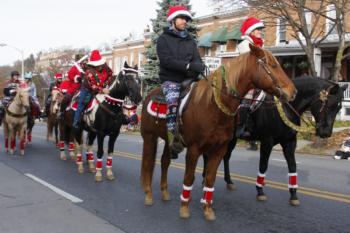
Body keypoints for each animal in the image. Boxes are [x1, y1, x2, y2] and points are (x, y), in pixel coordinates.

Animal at [141, 44, 296, 221]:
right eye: (273, 65)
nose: (293, 91)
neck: (213, 106)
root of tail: (149, 95)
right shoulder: (194, 150)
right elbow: (189, 177)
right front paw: (184, 208)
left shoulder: (219, 149)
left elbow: (210, 178)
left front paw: (207, 209)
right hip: (149, 137)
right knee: (148, 163)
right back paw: (148, 195)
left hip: (168, 141)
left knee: (164, 161)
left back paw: (165, 193)